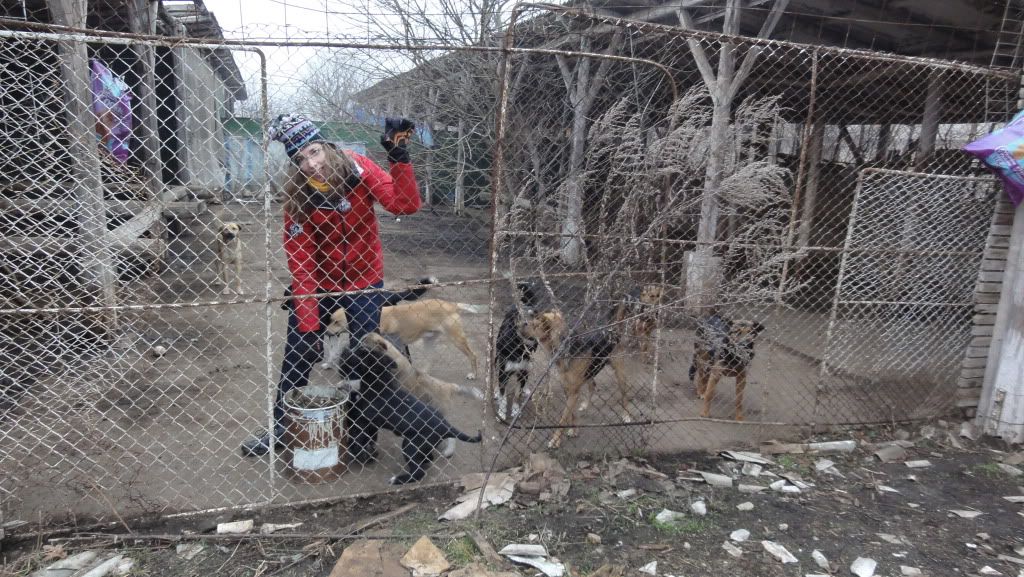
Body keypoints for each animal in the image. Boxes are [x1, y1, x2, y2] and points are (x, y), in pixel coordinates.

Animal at [327, 301, 487, 381]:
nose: (326, 332)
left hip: (456, 339)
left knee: (473, 355)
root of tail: (451, 305)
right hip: (429, 341)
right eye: (331, 320)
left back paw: (473, 374)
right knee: (430, 359)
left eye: (336, 322)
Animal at [524, 311, 634, 450]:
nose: (518, 326)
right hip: (590, 372)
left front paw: (555, 440)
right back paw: (585, 405)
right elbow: (571, 414)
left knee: (624, 394)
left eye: (534, 325)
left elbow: (563, 419)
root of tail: (612, 329)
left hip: (619, 372)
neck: (565, 347)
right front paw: (573, 430)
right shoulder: (568, 388)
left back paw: (626, 415)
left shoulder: (573, 391)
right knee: (593, 385)